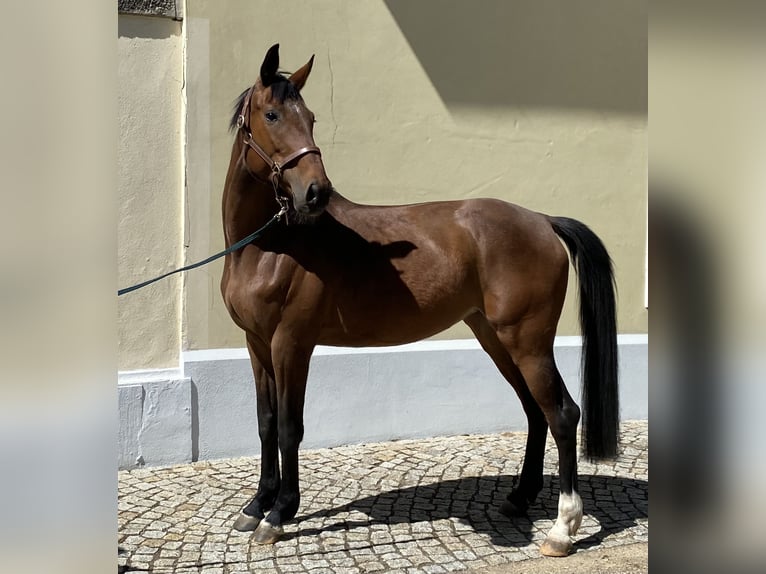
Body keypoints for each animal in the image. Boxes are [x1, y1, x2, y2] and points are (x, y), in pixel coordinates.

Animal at [220, 44, 618, 558]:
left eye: (309, 117)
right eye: (272, 114)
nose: (315, 193)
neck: (270, 246)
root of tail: (542, 220)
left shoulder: (292, 343)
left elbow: (291, 426)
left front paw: (279, 513)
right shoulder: (257, 344)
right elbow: (266, 422)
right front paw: (256, 506)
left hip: (527, 341)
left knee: (563, 414)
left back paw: (562, 528)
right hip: (495, 338)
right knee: (536, 411)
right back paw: (519, 498)